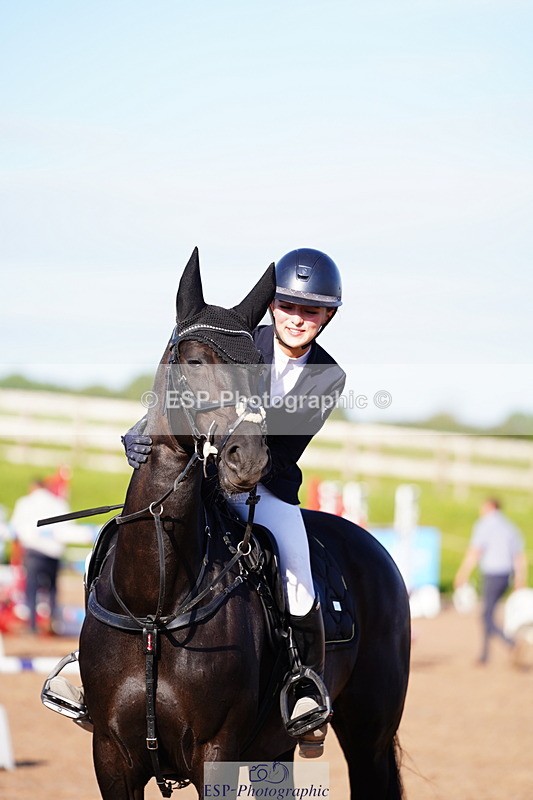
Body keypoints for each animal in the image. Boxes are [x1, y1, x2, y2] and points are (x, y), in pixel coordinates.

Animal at [79, 248, 411, 799]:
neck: (155, 604)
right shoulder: (110, 756)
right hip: (274, 748)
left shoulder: (216, 753)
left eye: (258, 373)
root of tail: (373, 547)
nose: (247, 460)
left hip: (370, 736)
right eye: (193, 362)